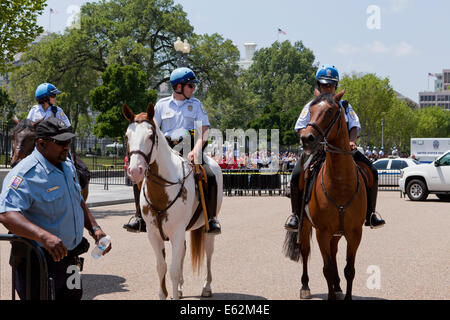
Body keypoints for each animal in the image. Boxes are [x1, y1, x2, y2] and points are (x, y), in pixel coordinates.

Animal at [122, 102, 222, 300]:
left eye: (150, 135)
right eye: (127, 136)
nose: (135, 170)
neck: (162, 189)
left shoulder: (176, 231)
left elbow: (173, 270)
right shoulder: (153, 234)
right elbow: (161, 267)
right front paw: (166, 293)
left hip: (207, 228)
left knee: (209, 252)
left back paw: (207, 286)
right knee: (183, 251)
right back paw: (182, 288)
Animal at [284, 90, 366, 300]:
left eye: (330, 111)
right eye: (311, 109)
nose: (307, 138)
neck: (340, 184)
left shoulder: (354, 233)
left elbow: (349, 270)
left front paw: (344, 293)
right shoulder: (322, 231)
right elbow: (326, 268)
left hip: (337, 233)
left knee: (334, 252)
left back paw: (337, 287)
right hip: (306, 225)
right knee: (305, 252)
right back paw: (305, 286)